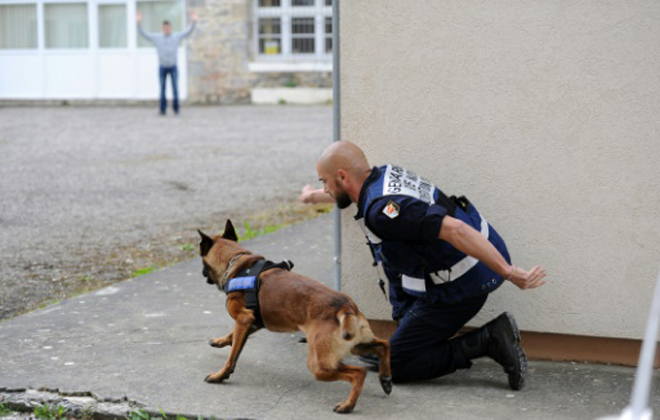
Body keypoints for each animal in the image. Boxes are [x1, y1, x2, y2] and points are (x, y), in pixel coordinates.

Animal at [196, 220, 392, 414]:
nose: (203, 274)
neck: (239, 264)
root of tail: (345, 306)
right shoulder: (253, 322)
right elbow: (232, 335)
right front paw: (221, 341)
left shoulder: (243, 320)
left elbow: (232, 357)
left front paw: (220, 375)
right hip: (357, 345)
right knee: (383, 345)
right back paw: (385, 378)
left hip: (318, 365)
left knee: (359, 372)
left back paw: (348, 405)